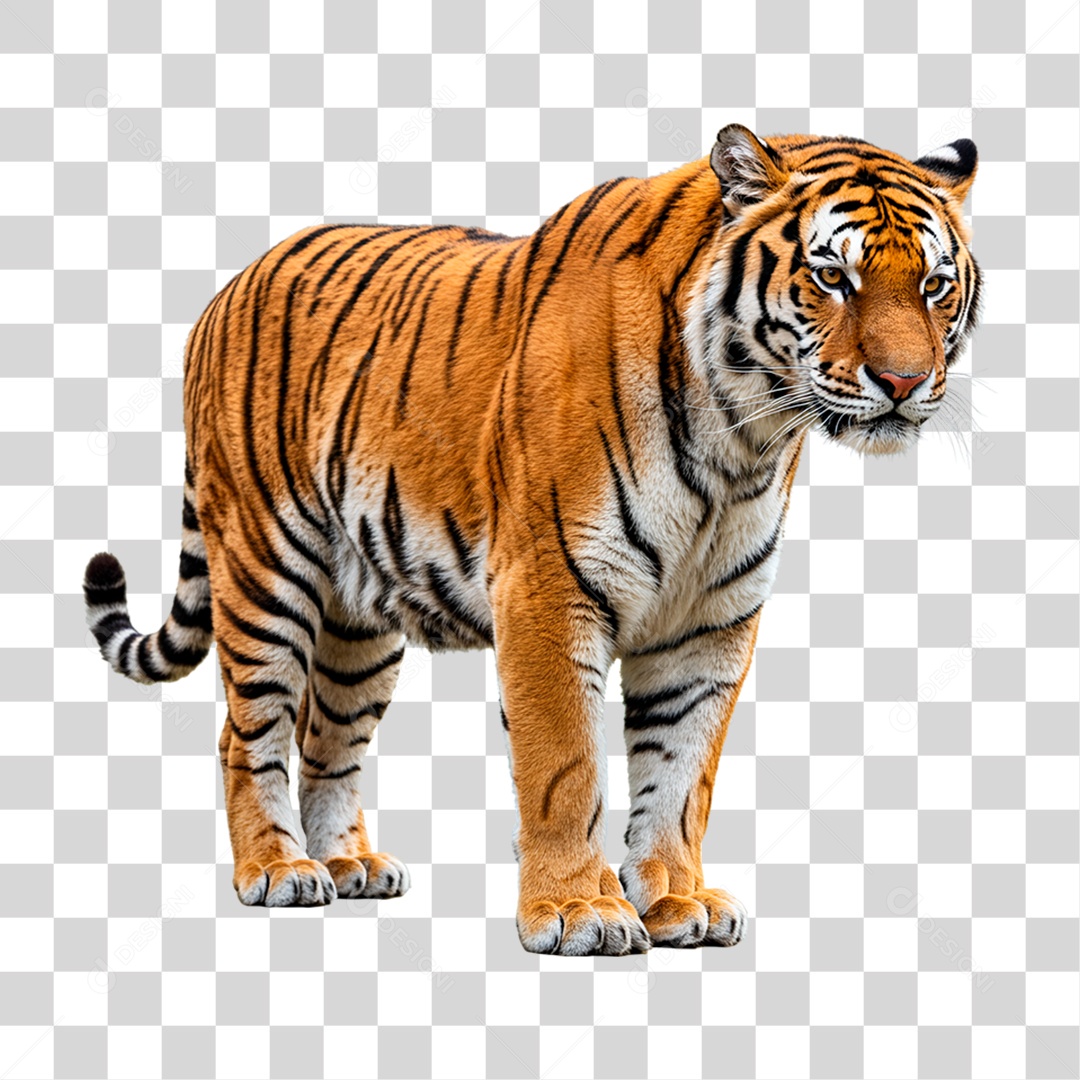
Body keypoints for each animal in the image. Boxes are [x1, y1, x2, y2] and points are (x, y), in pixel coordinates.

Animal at [84, 125, 980, 955]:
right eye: (833, 278)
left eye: (934, 286)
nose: (904, 383)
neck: (741, 440)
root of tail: (229, 287)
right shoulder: (551, 588)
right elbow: (566, 766)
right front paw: (581, 912)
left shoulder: (709, 623)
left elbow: (682, 773)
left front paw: (676, 898)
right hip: (265, 566)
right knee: (250, 731)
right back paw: (276, 869)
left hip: (357, 622)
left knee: (327, 737)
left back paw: (349, 864)